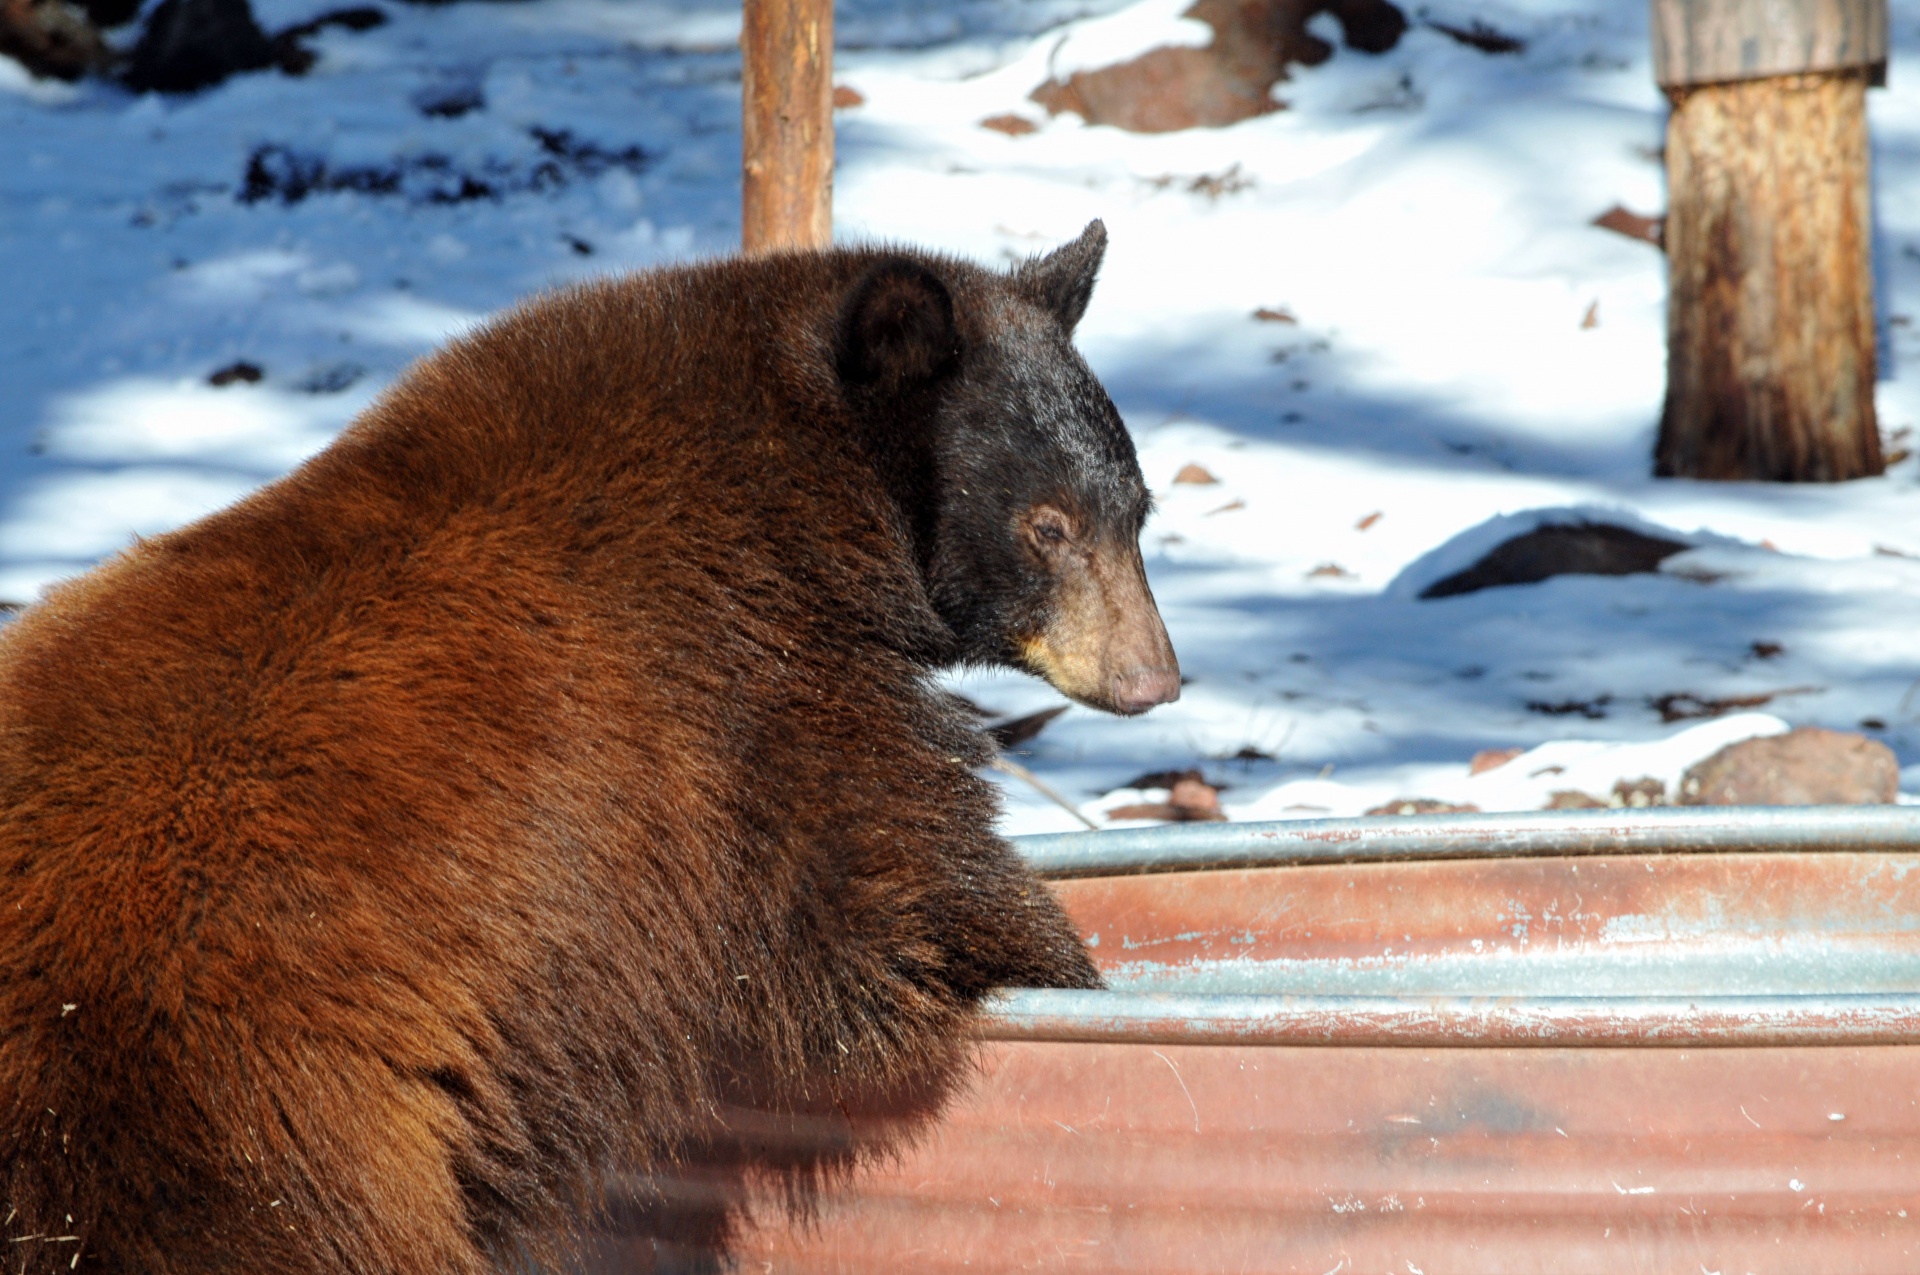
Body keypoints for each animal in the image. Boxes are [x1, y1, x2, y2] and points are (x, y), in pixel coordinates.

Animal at [0, 221, 1175, 1275]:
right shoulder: (750, 706)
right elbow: (902, 893)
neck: (806, 489)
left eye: (1139, 510)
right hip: (234, 1131)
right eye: (1049, 525)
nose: (1153, 677)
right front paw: (1056, 963)